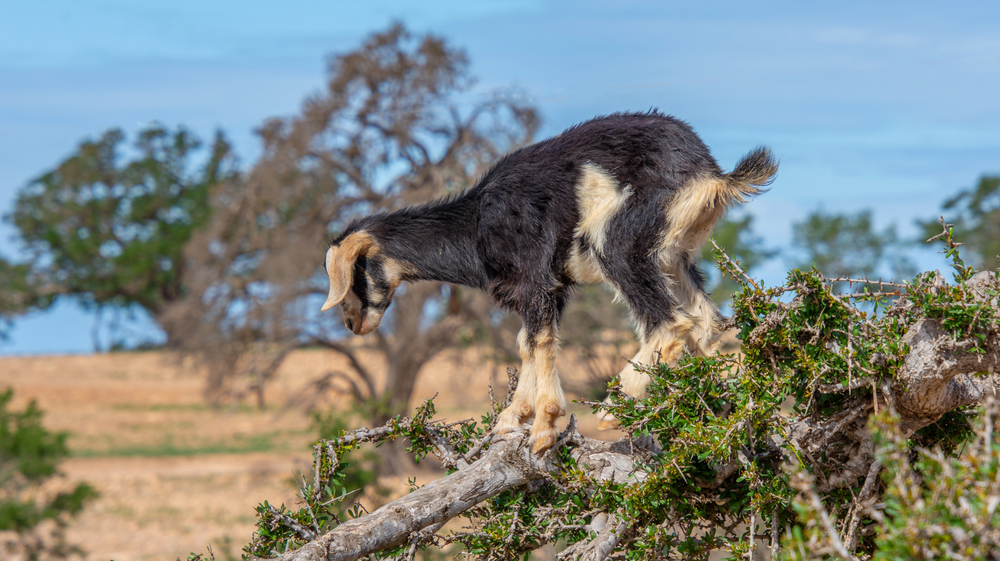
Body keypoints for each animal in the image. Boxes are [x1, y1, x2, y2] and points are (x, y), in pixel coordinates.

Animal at [321, 111, 777, 454]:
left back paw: (615, 406)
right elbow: (527, 342)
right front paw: (512, 419)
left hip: (618, 242)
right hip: (673, 255)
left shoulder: (534, 280)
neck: (476, 224)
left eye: (354, 272)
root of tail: (711, 173)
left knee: (671, 322)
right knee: (706, 320)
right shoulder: (549, 289)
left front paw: (543, 427)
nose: (352, 324)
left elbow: (538, 342)